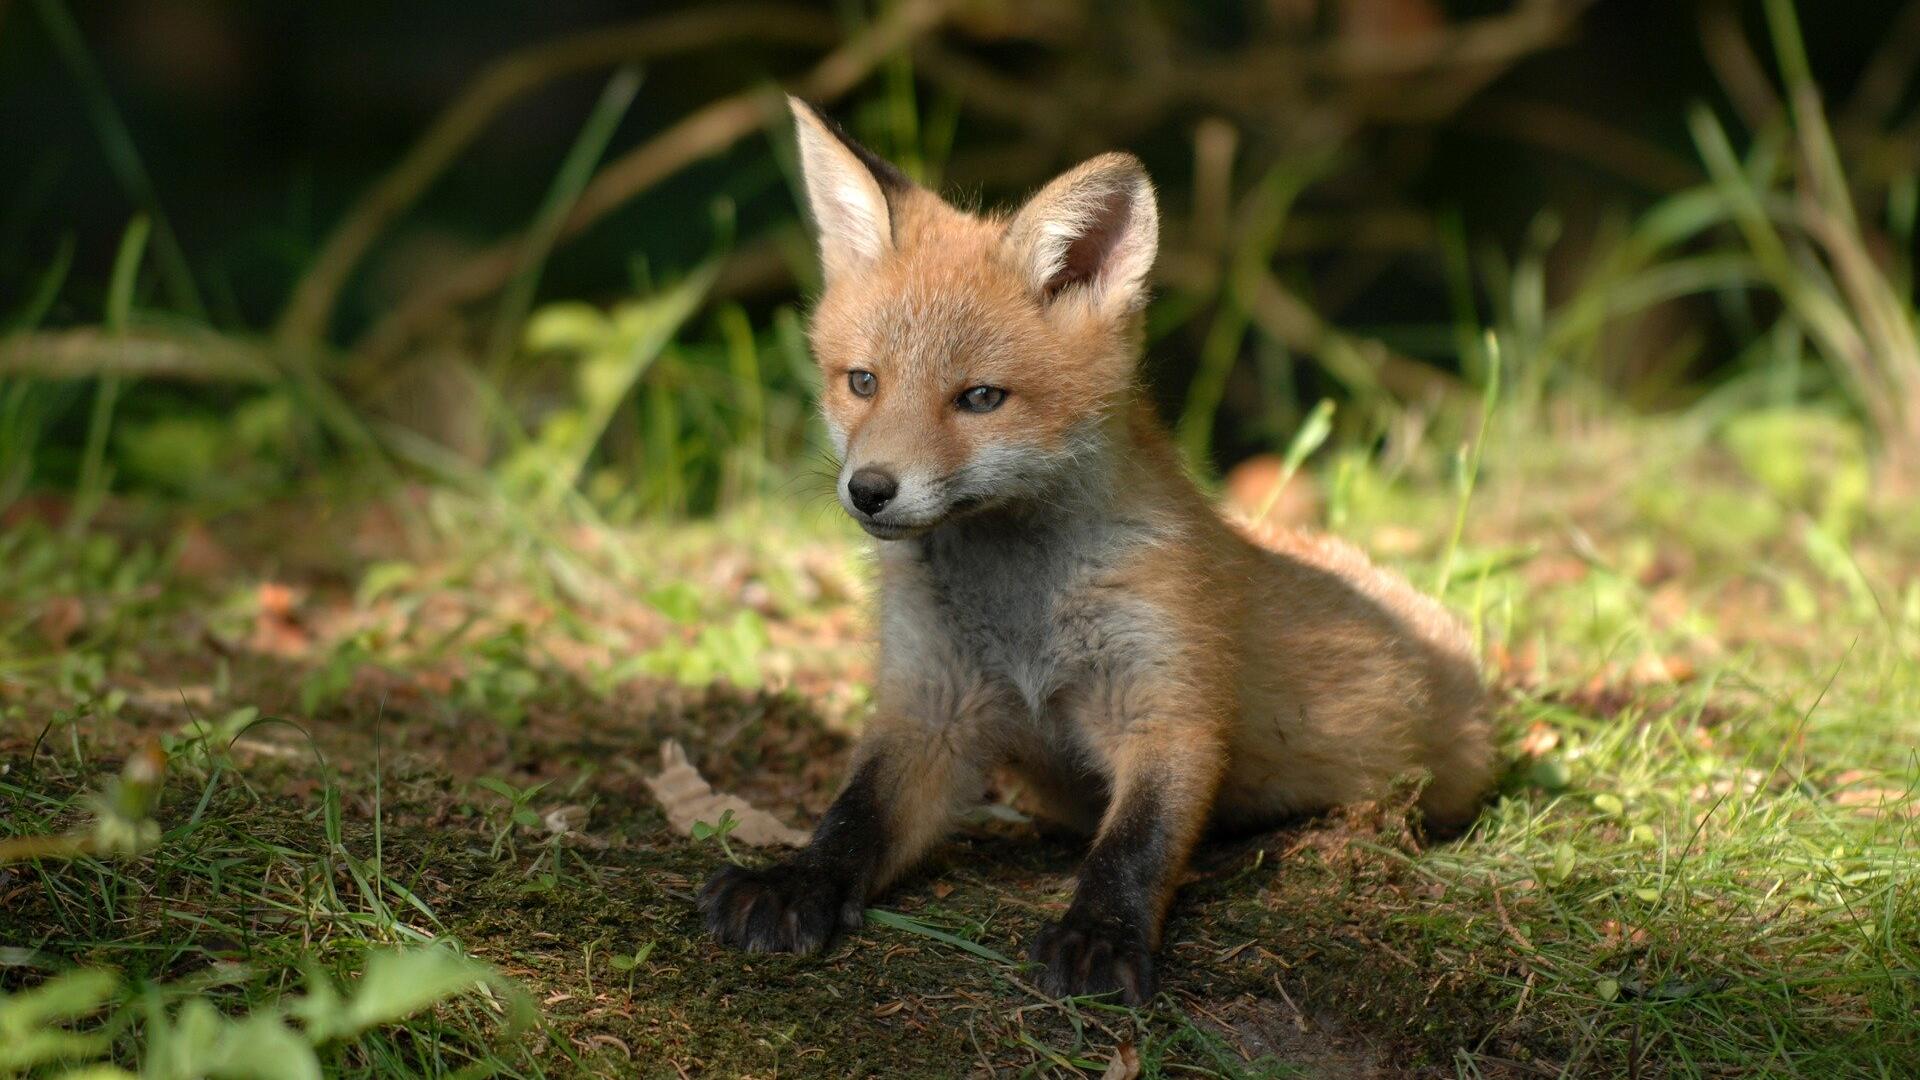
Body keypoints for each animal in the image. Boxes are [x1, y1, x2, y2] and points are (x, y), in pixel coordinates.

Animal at [700, 98, 1494, 1004]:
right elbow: (852, 816)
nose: (869, 490)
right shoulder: (930, 707)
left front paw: (1101, 934)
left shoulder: (1167, 703)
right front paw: (795, 881)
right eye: (861, 382)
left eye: (980, 398)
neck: (1022, 607)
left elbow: (1135, 844)